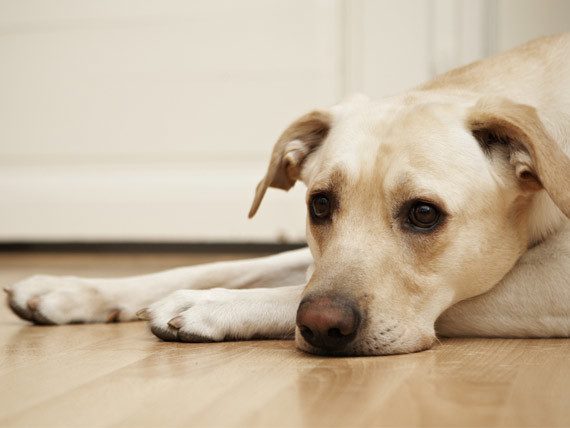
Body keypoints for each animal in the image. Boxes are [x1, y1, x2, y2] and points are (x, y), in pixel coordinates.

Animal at [5, 33, 568, 356]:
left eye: (425, 214)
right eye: (320, 204)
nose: (321, 326)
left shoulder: (548, 280)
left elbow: (288, 290)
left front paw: (209, 306)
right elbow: (224, 266)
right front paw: (71, 289)